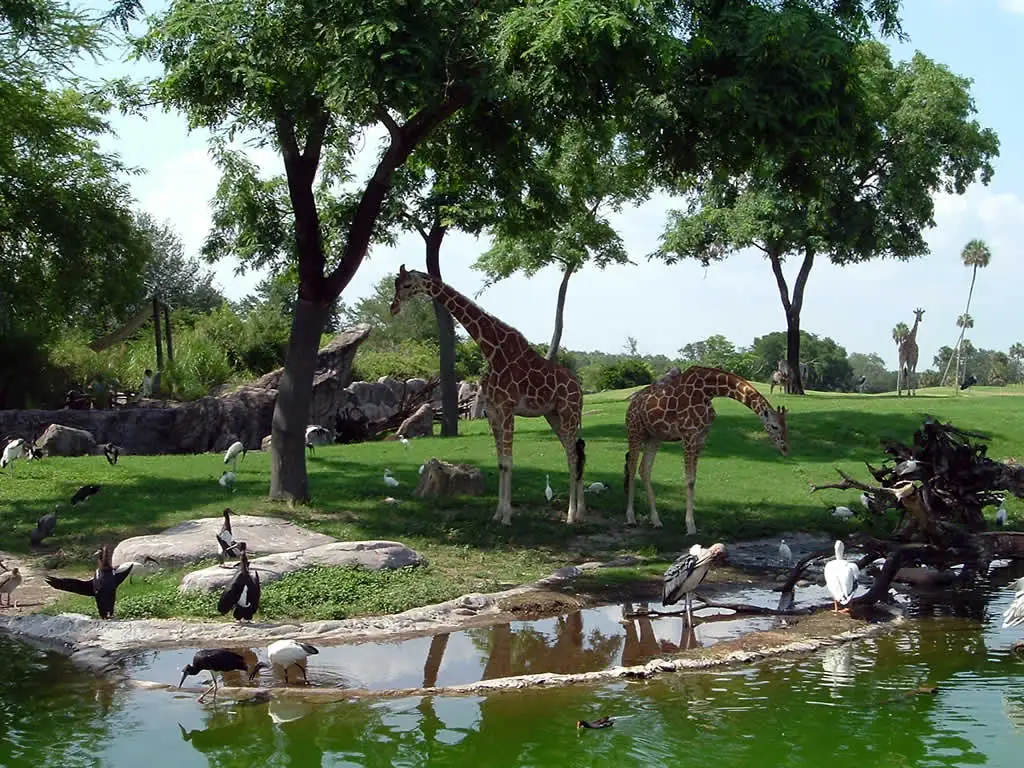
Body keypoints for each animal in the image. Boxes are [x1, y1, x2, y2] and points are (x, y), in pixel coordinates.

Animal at [390, 265, 586, 525]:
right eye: (396, 283)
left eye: (407, 285)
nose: (393, 307)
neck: (491, 350)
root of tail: (579, 389)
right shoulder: (493, 412)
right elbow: (501, 463)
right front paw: (498, 514)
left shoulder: (508, 409)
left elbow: (509, 461)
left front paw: (507, 518)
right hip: (554, 416)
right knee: (574, 453)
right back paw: (581, 512)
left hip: (568, 412)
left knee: (574, 457)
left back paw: (572, 516)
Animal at [624, 366, 788, 534]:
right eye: (774, 426)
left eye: (785, 426)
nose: (785, 448)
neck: (709, 390)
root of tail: (632, 402)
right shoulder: (688, 435)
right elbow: (689, 479)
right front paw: (690, 526)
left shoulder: (701, 438)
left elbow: (694, 479)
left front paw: (691, 524)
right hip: (634, 431)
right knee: (632, 466)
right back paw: (631, 518)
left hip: (654, 437)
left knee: (644, 469)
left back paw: (656, 521)